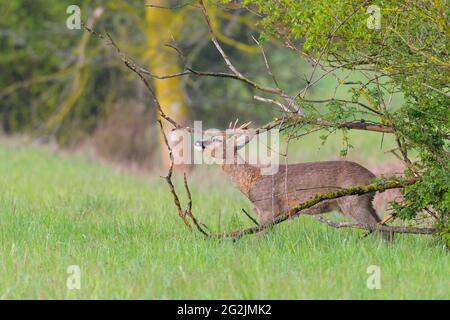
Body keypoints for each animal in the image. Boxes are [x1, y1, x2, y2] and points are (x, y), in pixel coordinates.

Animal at [195, 123, 392, 240]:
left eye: (216, 139)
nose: (198, 142)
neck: (252, 180)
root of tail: (373, 177)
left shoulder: (268, 208)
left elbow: (259, 237)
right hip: (366, 202)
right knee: (386, 227)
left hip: (354, 201)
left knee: (379, 229)